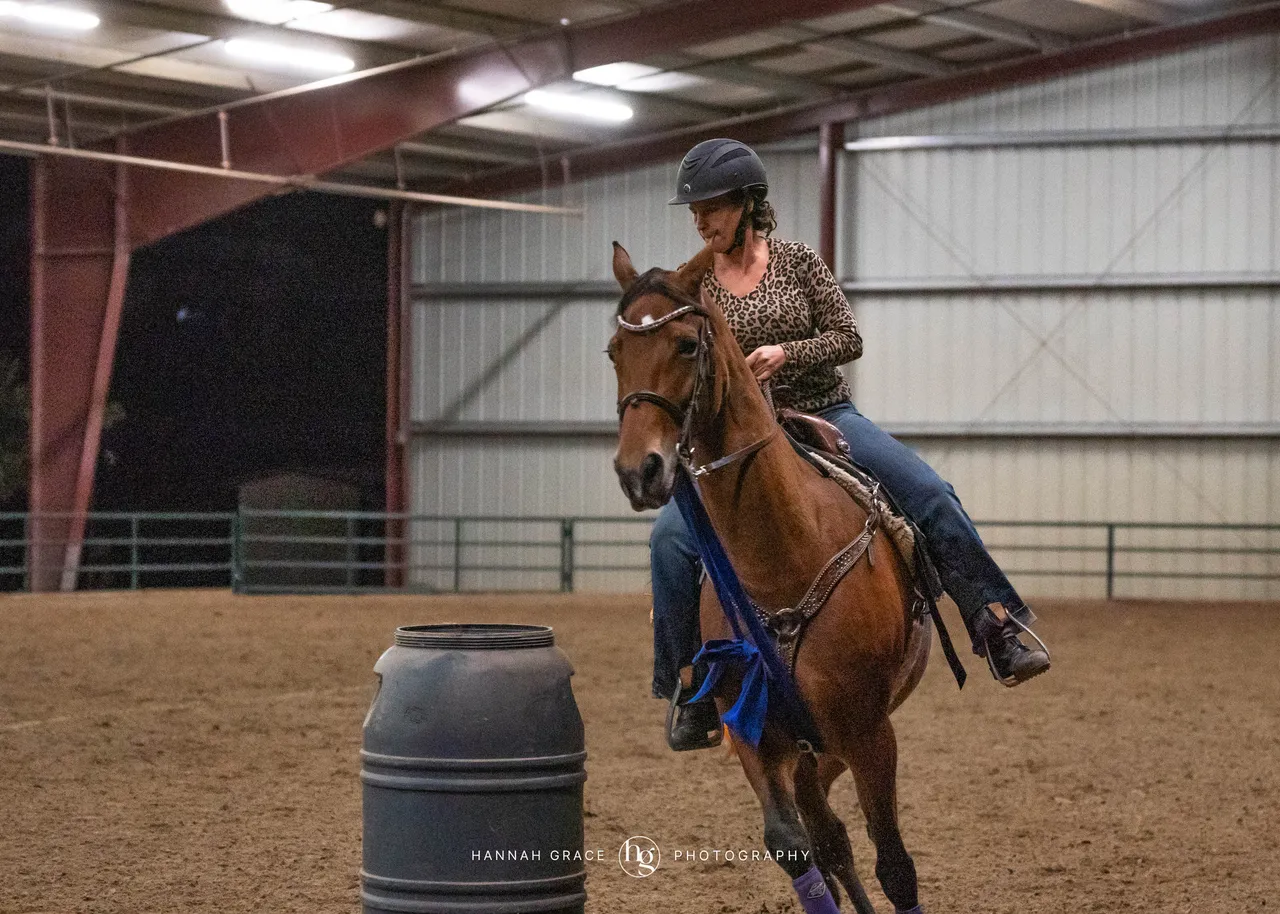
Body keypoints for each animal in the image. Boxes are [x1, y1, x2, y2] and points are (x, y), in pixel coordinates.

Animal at [608, 242, 934, 914]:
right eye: (613, 351)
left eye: (687, 344)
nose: (639, 470)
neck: (782, 557)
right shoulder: (750, 729)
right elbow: (791, 843)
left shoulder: (869, 731)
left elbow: (895, 864)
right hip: (806, 748)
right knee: (827, 834)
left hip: (834, 744)